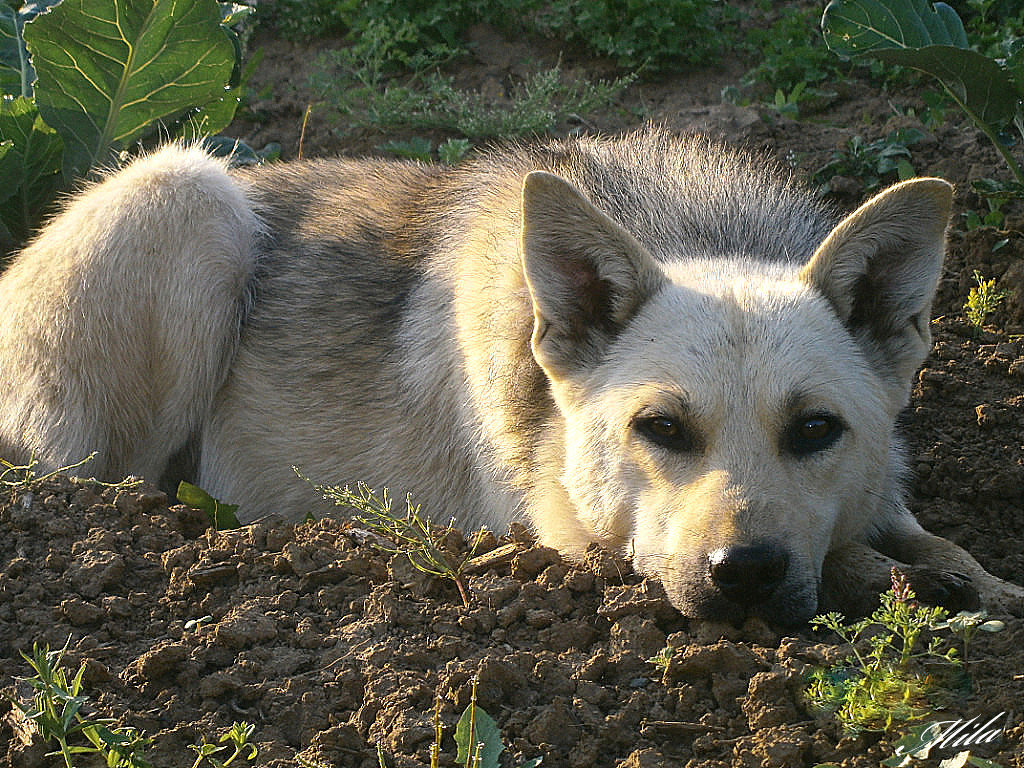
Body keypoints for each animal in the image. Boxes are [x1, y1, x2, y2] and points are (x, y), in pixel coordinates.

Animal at [4, 131, 1019, 626]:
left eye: (815, 430)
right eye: (661, 429)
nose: (744, 572)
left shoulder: (877, 491)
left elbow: (930, 538)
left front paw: (978, 582)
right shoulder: (572, 539)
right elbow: (858, 555)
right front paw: (901, 585)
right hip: (186, 197)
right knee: (115, 485)